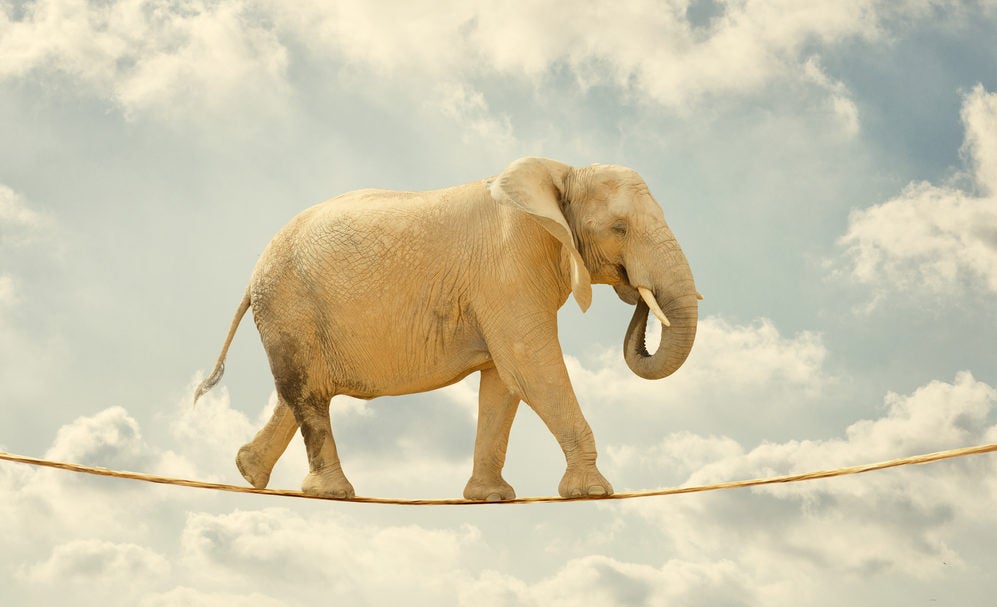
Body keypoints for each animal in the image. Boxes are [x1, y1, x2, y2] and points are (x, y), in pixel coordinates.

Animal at [196, 157, 700, 504]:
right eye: (619, 228)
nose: (638, 295)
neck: (562, 175)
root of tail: (252, 275)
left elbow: (503, 383)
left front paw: (491, 498)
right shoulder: (508, 270)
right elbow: (530, 367)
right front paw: (593, 492)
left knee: (297, 393)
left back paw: (248, 473)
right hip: (289, 306)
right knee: (308, 394)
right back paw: (331, 492)